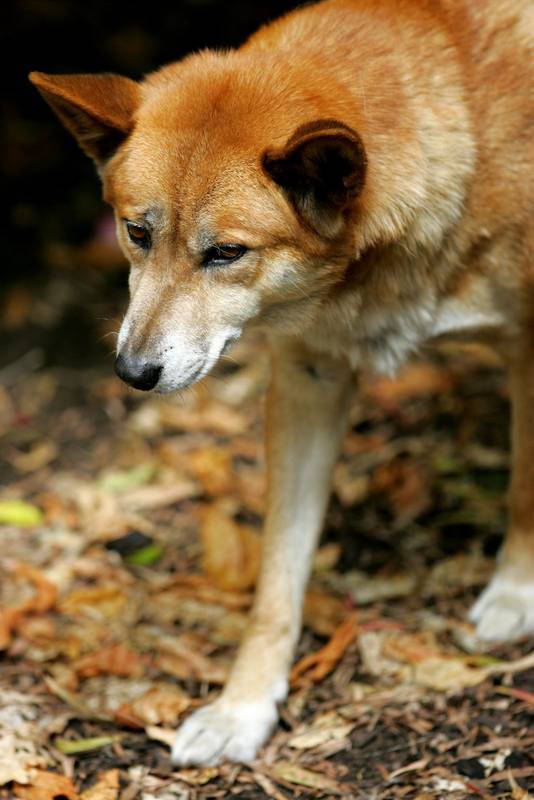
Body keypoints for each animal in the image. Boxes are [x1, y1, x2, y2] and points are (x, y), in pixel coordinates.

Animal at [30, 0, 533, 768]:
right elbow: (278, 574)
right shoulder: (310, 375)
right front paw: (242, 708)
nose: (133, 372)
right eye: (137, 233)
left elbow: (525, 490)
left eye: (225, 252)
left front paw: (517, 593)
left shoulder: (530, 348)